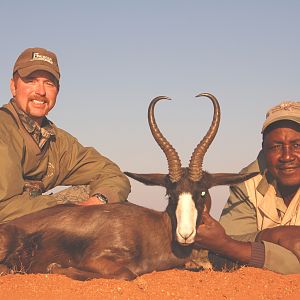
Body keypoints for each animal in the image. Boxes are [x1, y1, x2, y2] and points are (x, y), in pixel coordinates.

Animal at [0, 92, 258, 280]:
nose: (185, 234)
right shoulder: (97, 260)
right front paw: (54, 267)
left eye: (202, 192)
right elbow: (127, 274)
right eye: (170, 193)